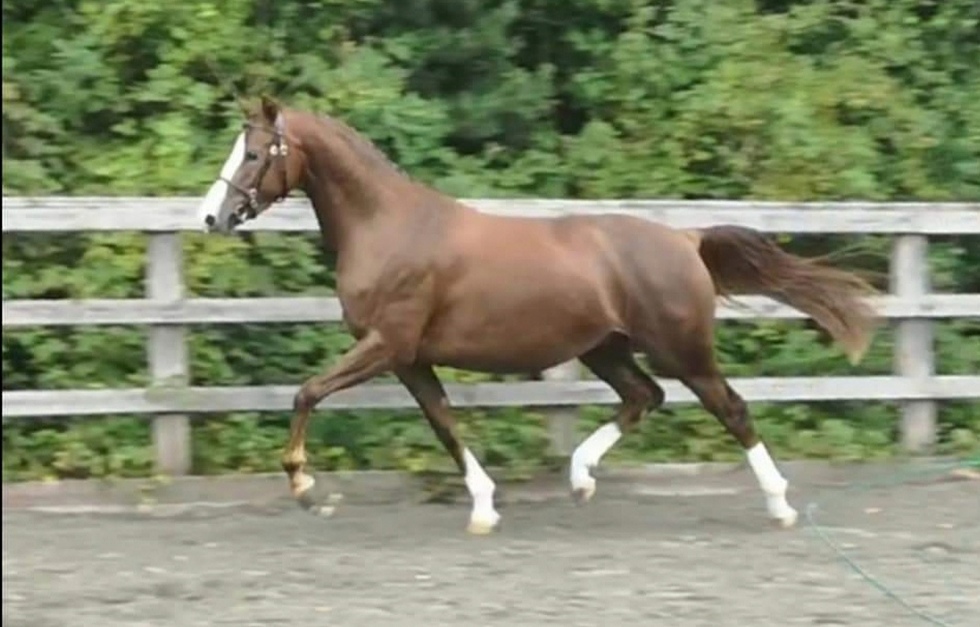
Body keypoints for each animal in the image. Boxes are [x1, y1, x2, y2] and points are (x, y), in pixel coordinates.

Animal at [196, 96, 878, 534]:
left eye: (254, 153)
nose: (212, 217)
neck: (389, 227)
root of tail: (685, 240)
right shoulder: (410, 359)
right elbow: (444, 424)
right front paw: (483, 508)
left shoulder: (385, 344)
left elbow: (308, 392)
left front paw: (305, 488)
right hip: (606, 347)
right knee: (644, 397)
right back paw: (580, 477)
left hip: (680, 348)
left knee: (730, 409)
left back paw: (780, 506)